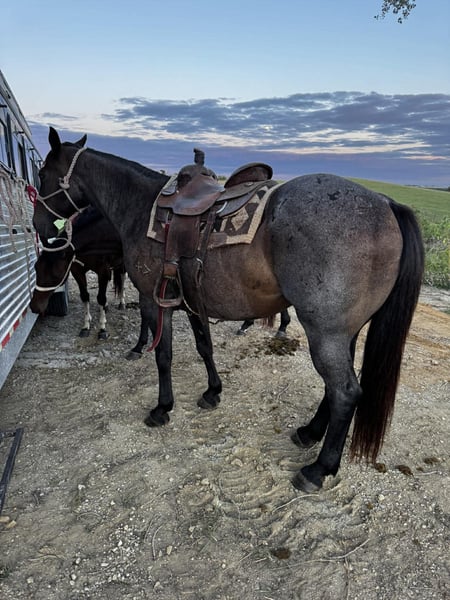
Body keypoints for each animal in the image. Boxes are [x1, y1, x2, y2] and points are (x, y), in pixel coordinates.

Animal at [30, 207, 126, 340]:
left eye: (55, 275)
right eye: (36, 268)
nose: (34, 306)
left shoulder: (103, 271)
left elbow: (101, 297)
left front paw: (102, 328)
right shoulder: (77, 270)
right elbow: (85, 296)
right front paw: (86, 326)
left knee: (122, 279)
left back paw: (122, 302)